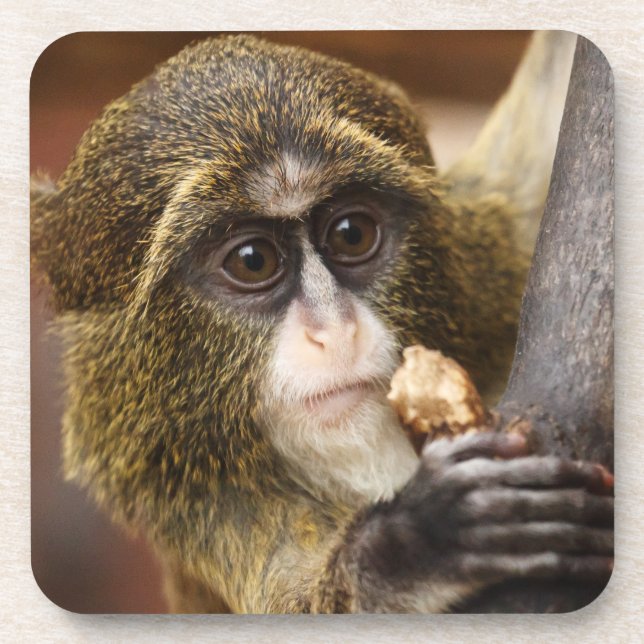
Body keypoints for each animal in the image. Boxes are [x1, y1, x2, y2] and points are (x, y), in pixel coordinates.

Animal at [31, 32, 613, 613]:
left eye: (351, 233)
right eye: (252, 261)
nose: (334, 331)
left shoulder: (489, 256)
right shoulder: (200, 503)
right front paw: (417, 541)